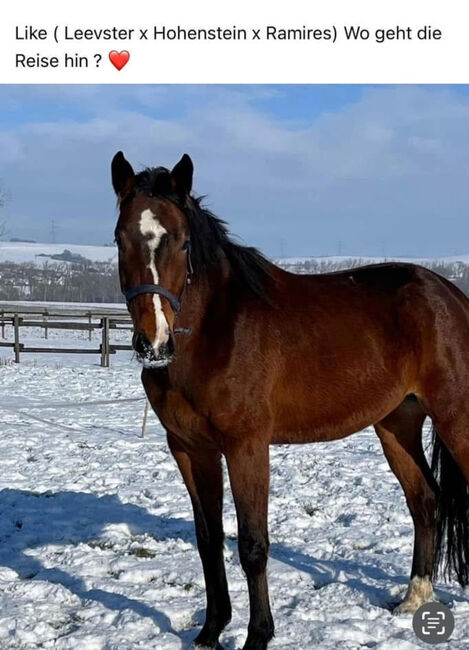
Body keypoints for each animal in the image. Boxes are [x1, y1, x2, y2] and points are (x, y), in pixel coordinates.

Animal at [112, 151, 468, 648]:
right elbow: (209, 540)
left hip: (456, 417)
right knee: (425, 500)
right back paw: (413, 600)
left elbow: (252, 545)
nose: (154, 343)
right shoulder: (189, 449)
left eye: (182, 243)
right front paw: (210, 631)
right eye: (119, 237)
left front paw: (257, 635)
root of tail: (450, 294)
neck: (215, 332)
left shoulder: (246, 447)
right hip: (397, 424)